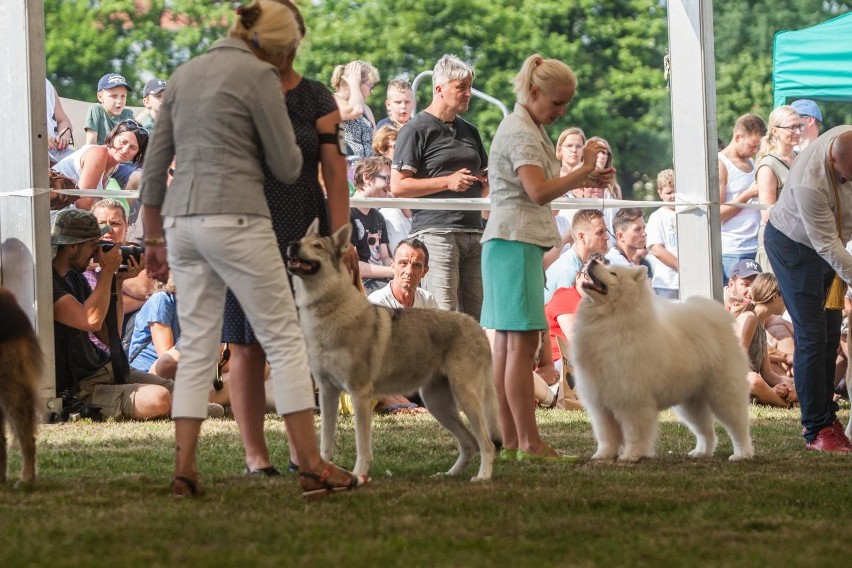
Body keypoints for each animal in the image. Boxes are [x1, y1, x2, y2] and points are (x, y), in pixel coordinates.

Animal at [572, 258, 752, 462]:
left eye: (613, 273)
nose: (593, 260)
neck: (611, 320)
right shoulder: (601, 405)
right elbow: (606, 435)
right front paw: (604, 455)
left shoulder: (632, 401)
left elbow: (634, 433)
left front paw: (631, 455)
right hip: (691, 404)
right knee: (706, 431)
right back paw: (701, 452)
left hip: (723, 394)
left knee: (737, 427)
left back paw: (742, 454)